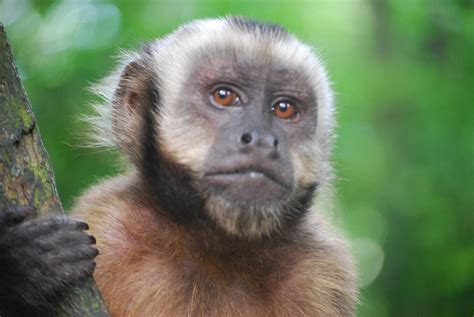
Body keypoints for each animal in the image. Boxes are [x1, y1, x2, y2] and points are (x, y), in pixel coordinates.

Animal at [73, 17, 356, 316]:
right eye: (223, 96)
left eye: (284, 109)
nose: (262, 139)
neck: (213, 241)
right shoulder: (109, 223)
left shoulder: (322, 266)